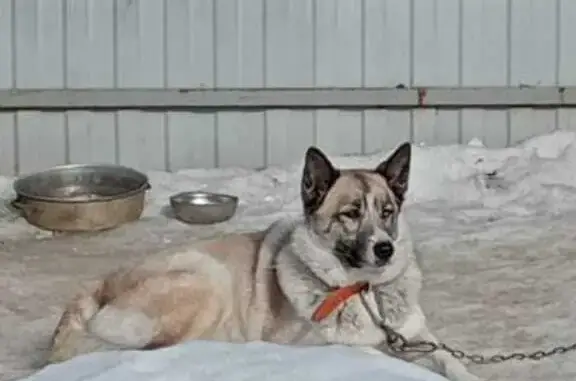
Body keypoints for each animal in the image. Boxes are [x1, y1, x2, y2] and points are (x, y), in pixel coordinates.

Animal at [46, 143, 476, 380]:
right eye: (351, 214)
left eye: (387, 212)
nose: (385, 249)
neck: (362, 291)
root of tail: (99, 287)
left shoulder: (420, 337)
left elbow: (450, 359)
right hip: (207, 280)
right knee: (159, 352)